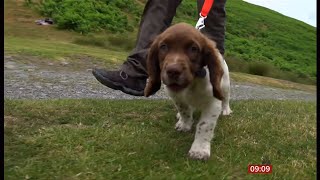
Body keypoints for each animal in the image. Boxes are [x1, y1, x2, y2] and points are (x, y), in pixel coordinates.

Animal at [145, 22, 232, 160]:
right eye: (163, 47)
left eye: (193, 49)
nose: (173, 71)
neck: (192, 83)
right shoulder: (176, 97)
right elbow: (184, 110)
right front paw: (185, 124)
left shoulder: (213, 102)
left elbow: (205, 125)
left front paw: (199, 150)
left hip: (225, 86)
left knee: (226, 98)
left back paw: (226, 110)